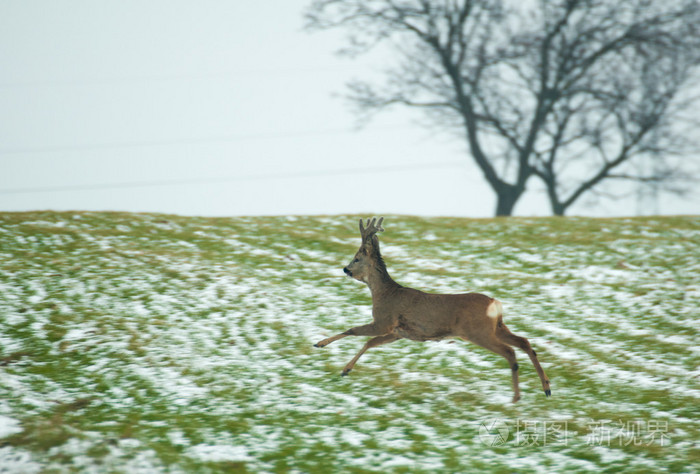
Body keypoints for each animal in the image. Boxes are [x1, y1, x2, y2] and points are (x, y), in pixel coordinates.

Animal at [314, 217, 548, 402]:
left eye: (357, 258)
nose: (345, 269)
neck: (383, 293)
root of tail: (495, 303)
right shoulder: (398, 333)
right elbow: (370, 343)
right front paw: (344, 367)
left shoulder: (383, 321)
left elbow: (353, 331)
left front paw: (323, 347)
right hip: (497, 327)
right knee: (525, 342)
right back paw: (546, 388)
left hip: (477, 331)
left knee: (510, 352)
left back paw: (516, 397)